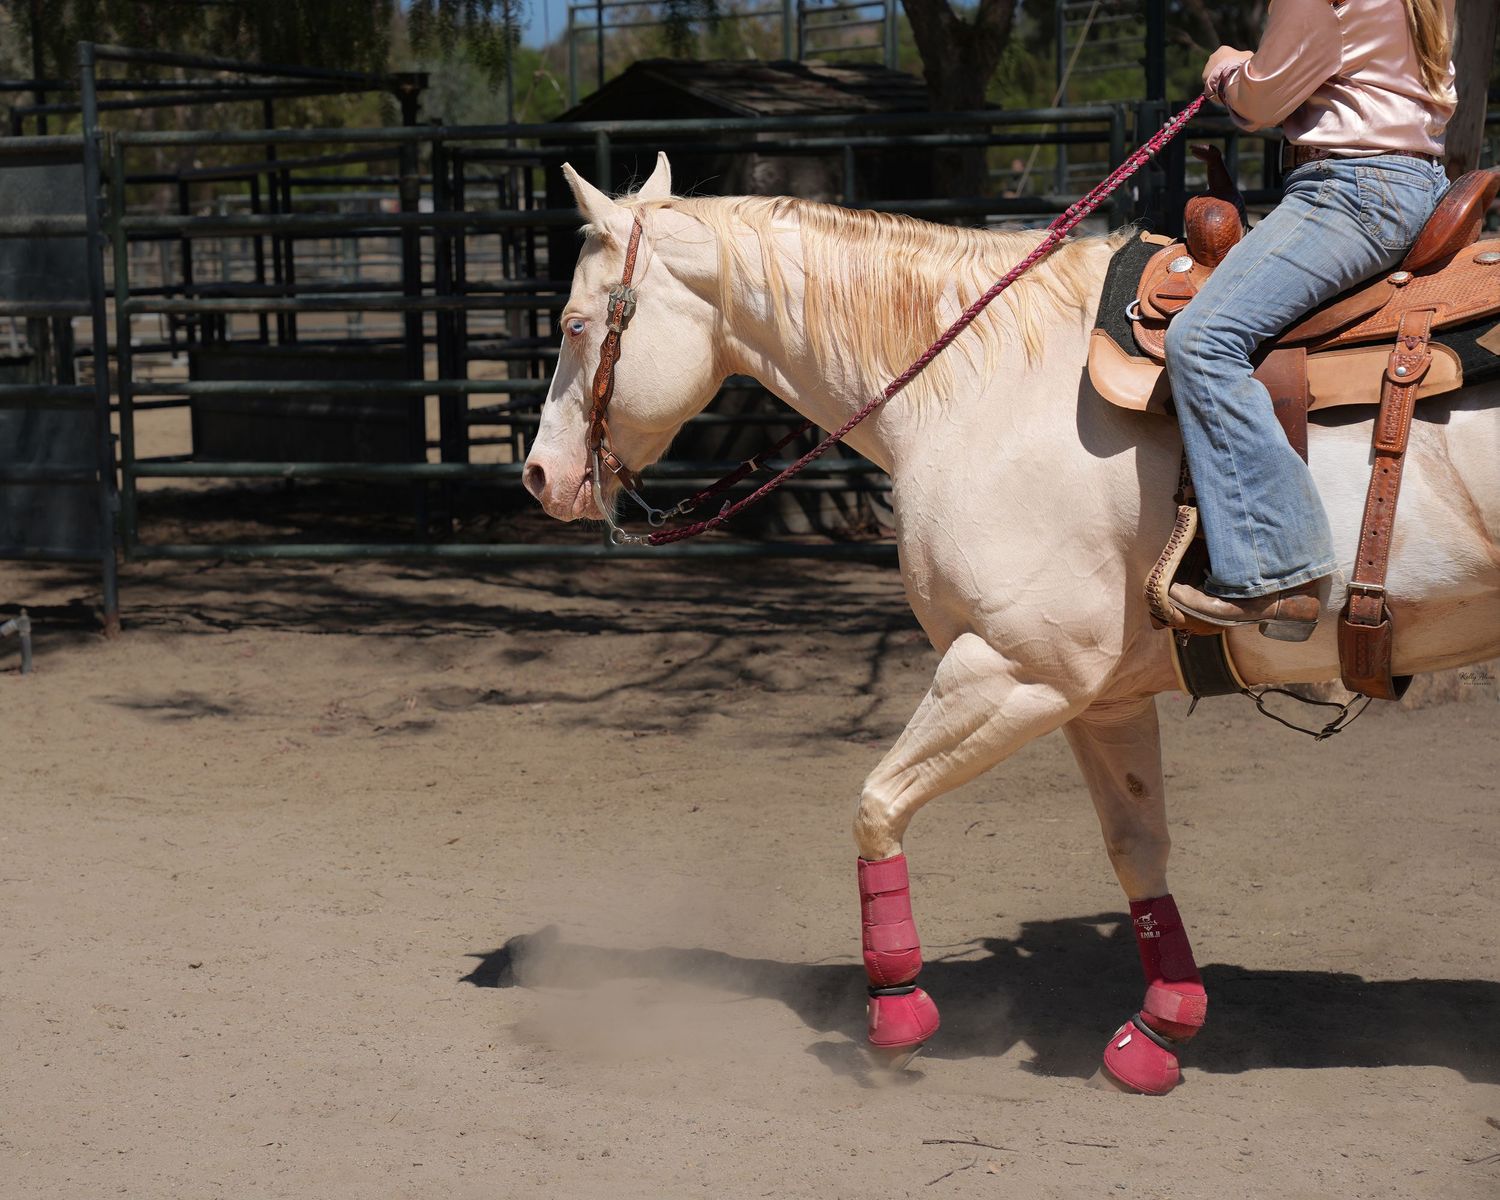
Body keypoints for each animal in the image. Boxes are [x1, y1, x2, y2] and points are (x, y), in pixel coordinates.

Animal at [521, 151, 1500, 1094]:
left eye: (574, 324)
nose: (538, 475)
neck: (981, 384)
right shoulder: (1103, 700)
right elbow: (1137, 848)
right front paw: (1159, 1032)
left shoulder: (1017, 669)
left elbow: (877, 805)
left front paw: (895, 1017)